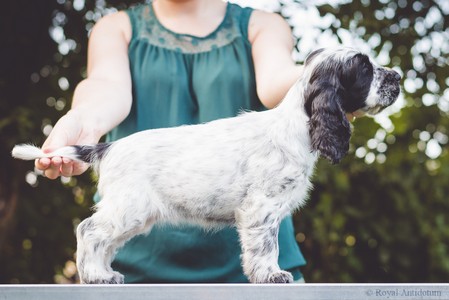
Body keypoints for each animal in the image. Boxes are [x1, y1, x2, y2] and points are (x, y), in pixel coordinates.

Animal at [13, 47, 400, 284]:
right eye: (364, 69)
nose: (397, 75)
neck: (297, 126)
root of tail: (108, 147)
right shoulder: (261, 208)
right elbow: (267, 247)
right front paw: (272, 274)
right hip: (129, 207)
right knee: (89, 231)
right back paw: (96, 276)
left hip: (134, 214)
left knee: (104, 240)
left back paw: (105, 273)